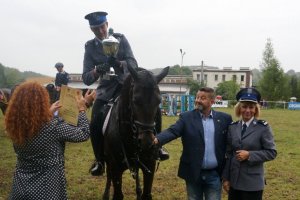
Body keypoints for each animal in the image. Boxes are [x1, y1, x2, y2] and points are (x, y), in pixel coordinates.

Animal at [102, 66, 169, 200]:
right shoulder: (115, 167)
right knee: (109, 175)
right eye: (135, 100)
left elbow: (146, 194)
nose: (147, 142)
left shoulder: (150, 164)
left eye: (159, 101)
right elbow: (117, 193)